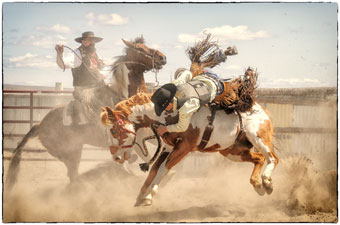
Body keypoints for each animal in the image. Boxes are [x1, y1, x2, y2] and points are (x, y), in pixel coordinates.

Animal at [100, 92, 278, 207]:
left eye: (113, 130)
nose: (115, 157)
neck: (170, 115)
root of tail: (261, 110)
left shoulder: (184, 148)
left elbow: (164, 169)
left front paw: (149, 196)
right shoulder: (167, 148)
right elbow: (154, 169)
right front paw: (140, 196)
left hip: (258, 138)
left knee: (272, 158)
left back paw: (267, 181)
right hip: (231, 151)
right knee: (259, 158)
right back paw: (259, 185)